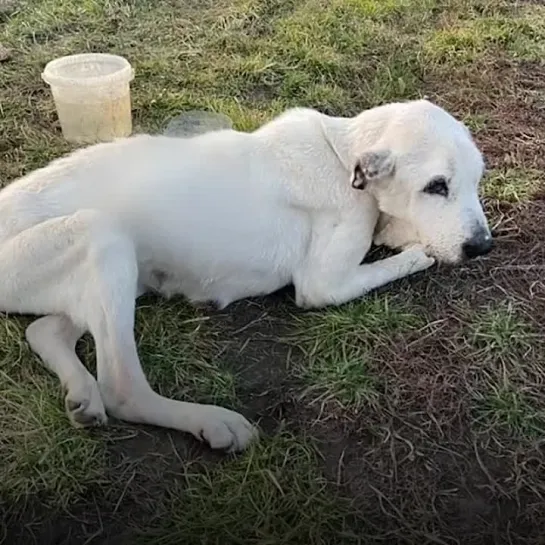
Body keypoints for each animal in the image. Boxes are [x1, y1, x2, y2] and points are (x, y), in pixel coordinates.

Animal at [0, 98, 492, 450]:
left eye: (476, 181)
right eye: (435, 186)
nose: (483, 246)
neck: (342, 153)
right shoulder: (324, 284)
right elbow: (397, 258)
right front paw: (419, 252)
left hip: (123, 274)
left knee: (44, 330)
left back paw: (82, 394)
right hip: (102, 235)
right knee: (122, 387)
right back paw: (211, 422)